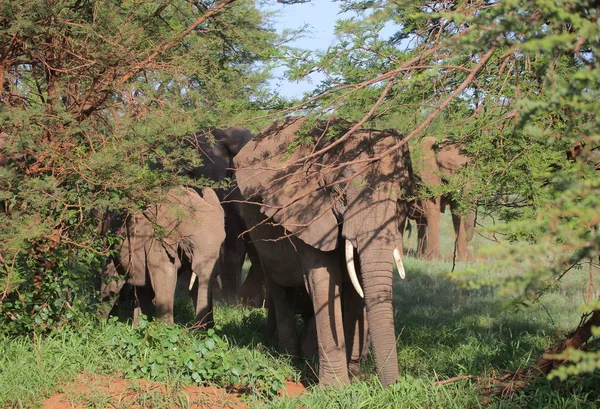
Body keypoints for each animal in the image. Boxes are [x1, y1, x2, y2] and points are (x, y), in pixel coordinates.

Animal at [100, 186, 225, 326]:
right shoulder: (157, 240)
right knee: (111, 284)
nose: (197, 329)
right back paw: (101, 324)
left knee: (144, 288)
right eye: (190, 243)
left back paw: (137, 327)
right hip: (109, 240)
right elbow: (165, 274)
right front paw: (167, 329)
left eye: (222, 242)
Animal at [232, 115, 414, 386]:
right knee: (279, 289)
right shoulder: (308, 213)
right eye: (341, 191)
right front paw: (335, 388)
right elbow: (326, 278)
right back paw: (291, 358)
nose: (390, 387)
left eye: (402, 194)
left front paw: (354, 377)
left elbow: (355, 284)